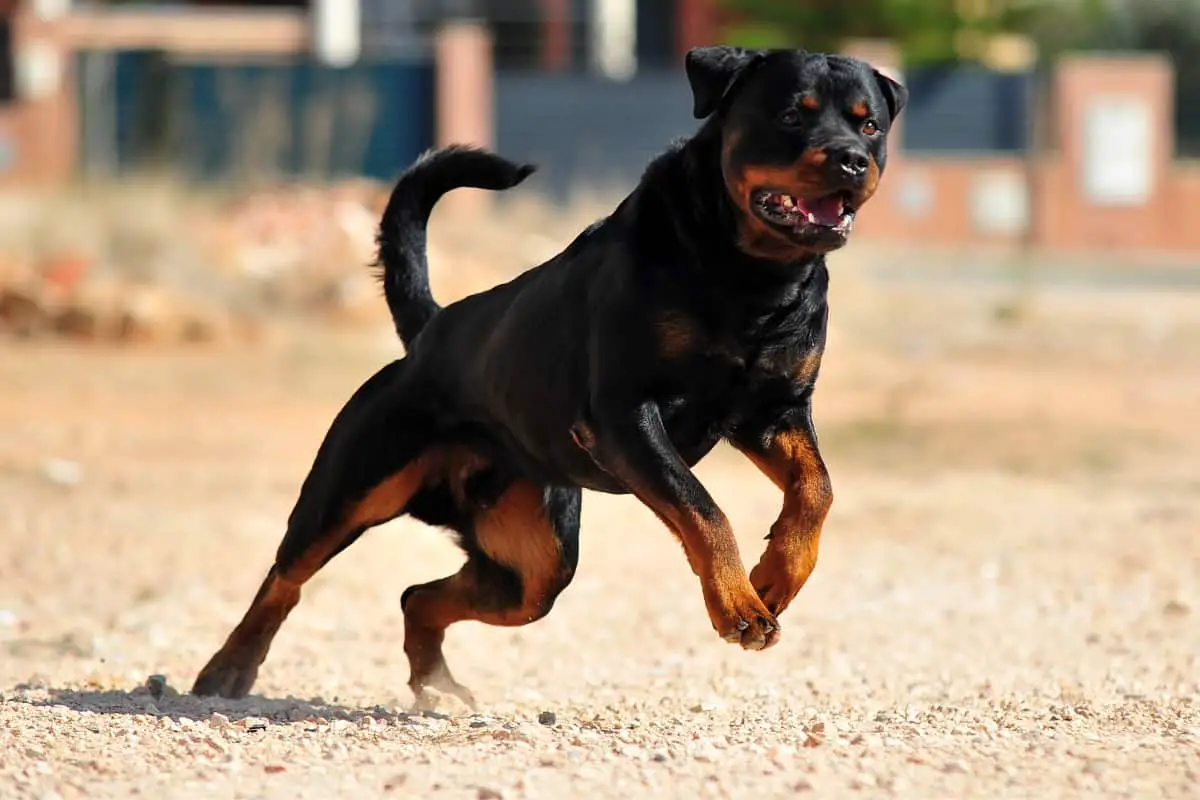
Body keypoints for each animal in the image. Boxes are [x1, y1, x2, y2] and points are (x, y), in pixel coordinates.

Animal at [189, 47, 902, 705]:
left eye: (869, 125)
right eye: (791, 116)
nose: (851, 159)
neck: (752, 276)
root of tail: (429, 332)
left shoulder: (774, 412)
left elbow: (817, 489)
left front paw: (777, 574)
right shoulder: (624, 414)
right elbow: (703, 509)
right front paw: (739, 605)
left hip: (536, 561)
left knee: (421, 595)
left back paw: (436, 683)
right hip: (354, 486)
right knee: (287, 576)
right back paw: (228, 668)